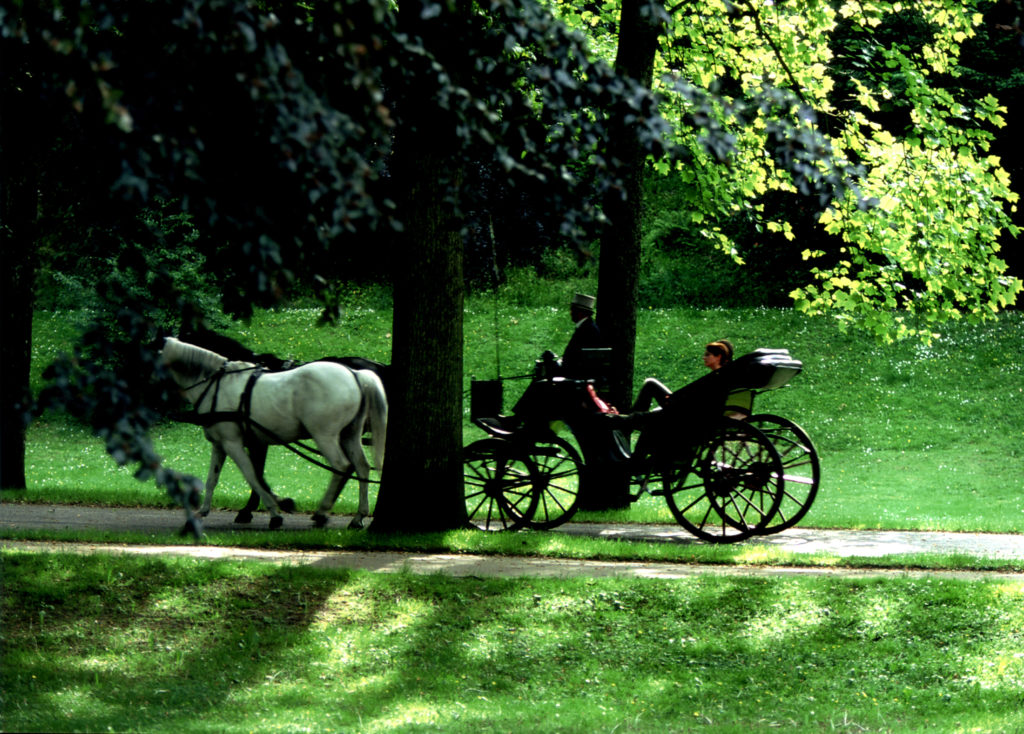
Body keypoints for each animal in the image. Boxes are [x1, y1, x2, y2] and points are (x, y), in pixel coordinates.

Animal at [159, 337, 387, 528]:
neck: (218, 385)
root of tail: (355, 374)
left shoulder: (235, 443)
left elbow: (253, 476)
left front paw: (275, 512)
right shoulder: (221, 444)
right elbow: (213, 479)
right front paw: (202, 511)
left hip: (325, 436)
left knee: (342, 466)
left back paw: (322, 513)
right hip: (349, 435)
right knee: (361, 467)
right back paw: (357, 517)